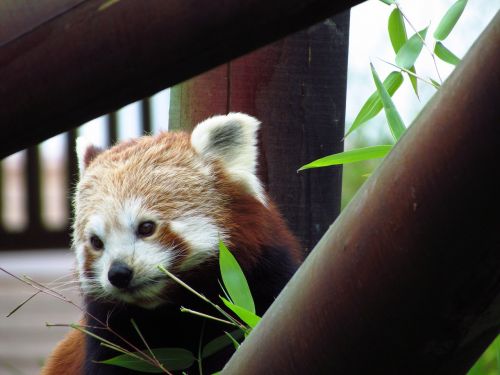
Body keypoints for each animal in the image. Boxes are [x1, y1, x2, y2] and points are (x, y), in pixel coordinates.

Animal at [42, 113, 300, 374]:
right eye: (96, 242)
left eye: (146, 227)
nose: (118, 273)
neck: (172, 311)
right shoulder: (110, 335)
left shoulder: (264, 288)